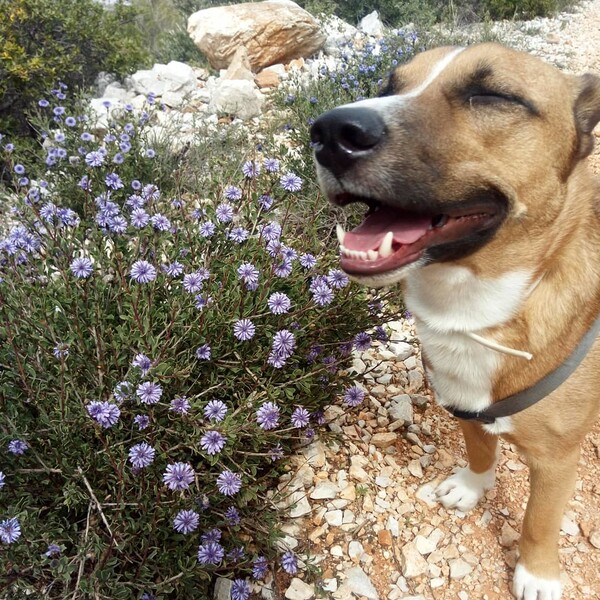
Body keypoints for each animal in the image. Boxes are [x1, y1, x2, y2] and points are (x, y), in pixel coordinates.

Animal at [312, 43, 600, 600]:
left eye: (493, 95)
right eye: (388, 86)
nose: (330, 132)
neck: (476, 310)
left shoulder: (556, 459)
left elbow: (540, 519)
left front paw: (537, 574)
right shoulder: (465, 404)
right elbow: (481, 450)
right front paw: (472, 487)